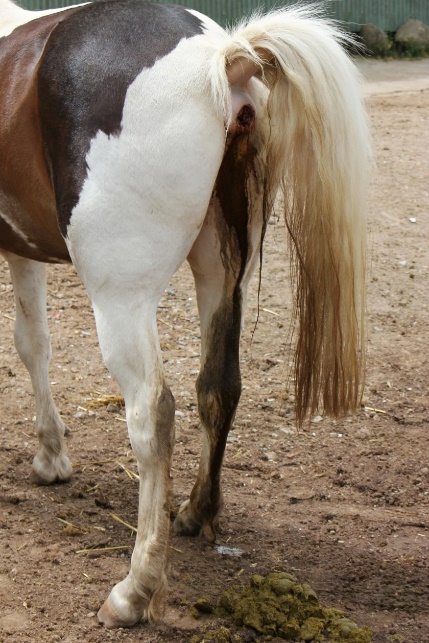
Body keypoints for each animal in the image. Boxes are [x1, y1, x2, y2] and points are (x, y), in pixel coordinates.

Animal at [0, 0, 370, 628]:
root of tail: (221, 55)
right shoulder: (23, 251)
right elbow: (36, 343)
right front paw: (52, 455)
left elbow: (30, 346)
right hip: (223, 271)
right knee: (218, 387)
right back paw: (196, 512)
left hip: (123, 298)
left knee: (154, 414)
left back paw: (135, 589)